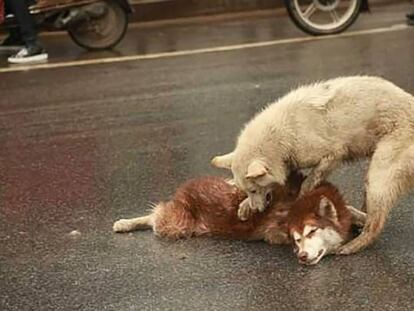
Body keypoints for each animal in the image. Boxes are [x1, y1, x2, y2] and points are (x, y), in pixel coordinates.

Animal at [212, 76, 414, 256]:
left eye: (254, 190)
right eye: (247, 191)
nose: (258, 210)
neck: (281, 135)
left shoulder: (331, 153)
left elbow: (309, 181)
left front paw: (301, 197)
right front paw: (245, 206)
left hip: (381, 171)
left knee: (376, 222)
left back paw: (354, 243)